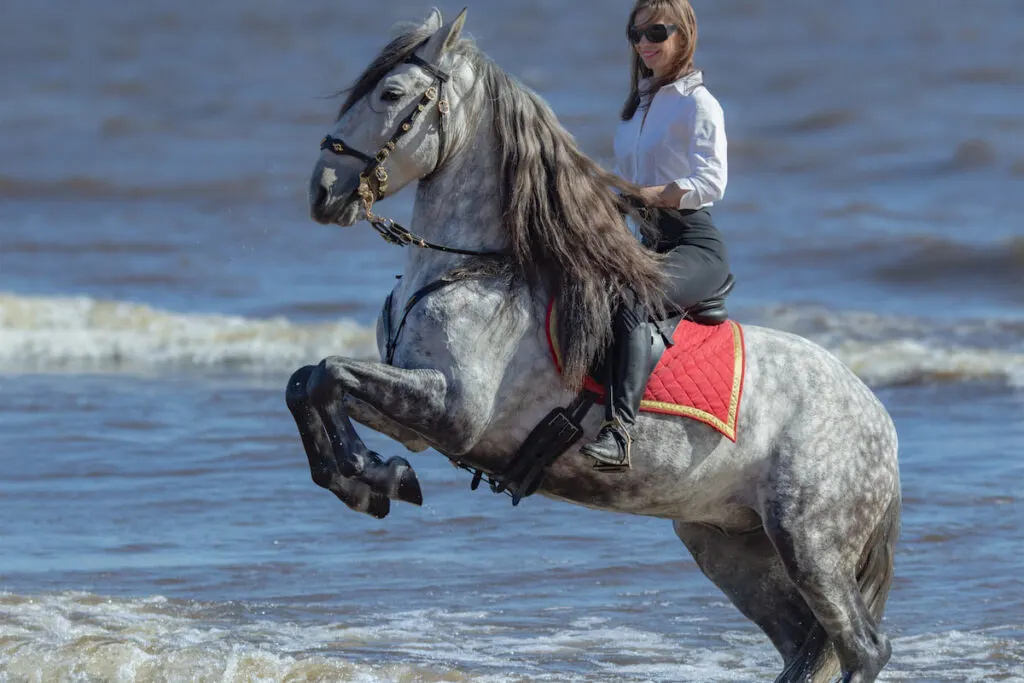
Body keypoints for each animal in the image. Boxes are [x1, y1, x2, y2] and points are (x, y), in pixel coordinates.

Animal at [284, 7, 901, 679]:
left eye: (391, 95)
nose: (322, 192)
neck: (472, 268)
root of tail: (879, 421)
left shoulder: (452, 411)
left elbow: (329, 374)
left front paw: (367, 473)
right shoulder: (420, 416)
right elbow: (309, 382)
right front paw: (371, 478)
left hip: (811, 542)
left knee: (864, 646)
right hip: (731, 545)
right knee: (802, 642)